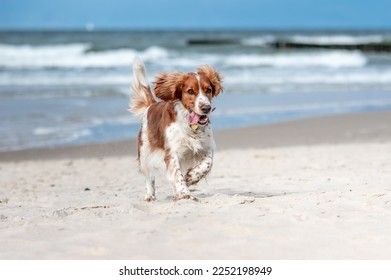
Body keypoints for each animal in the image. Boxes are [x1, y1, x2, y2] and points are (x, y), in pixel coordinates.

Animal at [130, 57, 224, 201]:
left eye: (208, 90)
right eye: (190, 91)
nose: (206, 108)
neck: (190, 124)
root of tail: (151, 106)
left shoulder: (207, 146)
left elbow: (207, 164)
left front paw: (191, 177)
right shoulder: (172, 152)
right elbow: (177, 174)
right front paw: (184, 192)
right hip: (145, 151)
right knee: (149, 176)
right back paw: (150, 195)